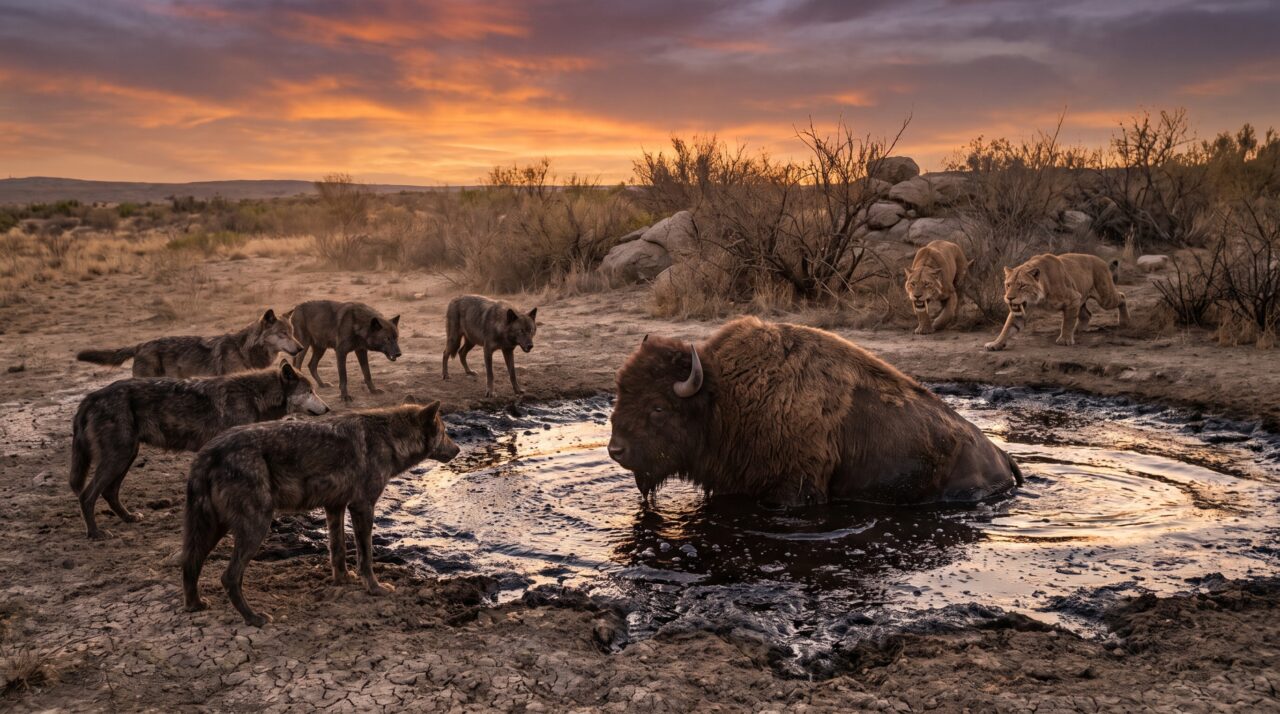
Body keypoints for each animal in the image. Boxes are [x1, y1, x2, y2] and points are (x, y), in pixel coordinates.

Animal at [69, 362, 329, 540]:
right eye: (310, 391)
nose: (327, 408)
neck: (254, 397)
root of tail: (91, 396)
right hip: (118, 456)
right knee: (87, 495)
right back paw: (95, 533)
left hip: (126, 455)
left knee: (109, 492)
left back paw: (129, 518)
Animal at [181, 402, 460, 626]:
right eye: (445, 432)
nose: (458, 449)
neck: (388, 437)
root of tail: (208, 452)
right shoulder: (362, 506)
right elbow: (366, 556)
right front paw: (375, 588)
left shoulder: (335, 507)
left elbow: (337, 550)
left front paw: (343, 580)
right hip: (255, 527)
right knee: (229, 577)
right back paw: (254, 618)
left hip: (214, 528)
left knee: (190, 562)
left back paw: (195, 605)